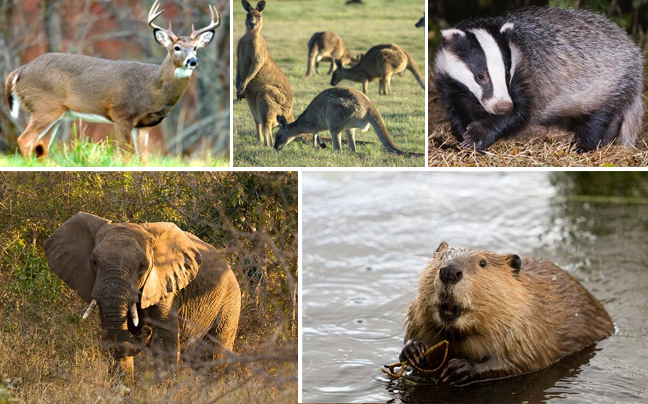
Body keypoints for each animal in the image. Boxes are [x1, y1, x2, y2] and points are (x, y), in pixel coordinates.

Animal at [3, 1, 223, 159]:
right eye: (177, 48)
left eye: (195, 48)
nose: (192, 61)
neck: (154, 88)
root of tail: (19, 71)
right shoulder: (122, 114)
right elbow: (125, 155)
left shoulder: (143, 125)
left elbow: (144, 159)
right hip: (45, 107)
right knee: (25, 141)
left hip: (57, 113)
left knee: (41, 147)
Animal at [43, 211, 240, 386]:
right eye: (94, 262)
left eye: (143, 266)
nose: (145, 330)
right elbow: (115, 339)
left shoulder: (166, 287)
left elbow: (163, 344)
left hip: (230, 302)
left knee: (213, 355)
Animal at [237, 0, 294, 147]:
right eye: (247, 15)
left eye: (259, 16)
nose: (252, 24)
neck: (250, 35)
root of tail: (290, 115)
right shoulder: (239, 52)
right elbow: (238, 69)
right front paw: (238, 89)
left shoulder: (258, 53)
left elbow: (255, 66)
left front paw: (241, 88)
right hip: (253, 105)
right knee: (260, 124)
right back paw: (260, 141)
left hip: (266, 96)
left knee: (267, 126)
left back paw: (267, 145)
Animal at [274, 86, 422, 157]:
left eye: (278, 136)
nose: (275, 148)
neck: (301, 124)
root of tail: (370, 106)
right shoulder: (315, 127)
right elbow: (316, 136)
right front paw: (319, 145)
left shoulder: (314, 124)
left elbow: (315, 136)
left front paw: (318, 146)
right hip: (349, 124)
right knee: (352, 145)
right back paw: (350, 152)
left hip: (335, 110)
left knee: (338, 144)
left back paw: (336, 153)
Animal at [402, 241, 616, 384]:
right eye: (440, 258)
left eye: (482, 263)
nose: (449, 271)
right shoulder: (417, 316)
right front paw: (413, 349)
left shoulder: (525, 327)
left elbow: (521, 361)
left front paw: (460, 368)